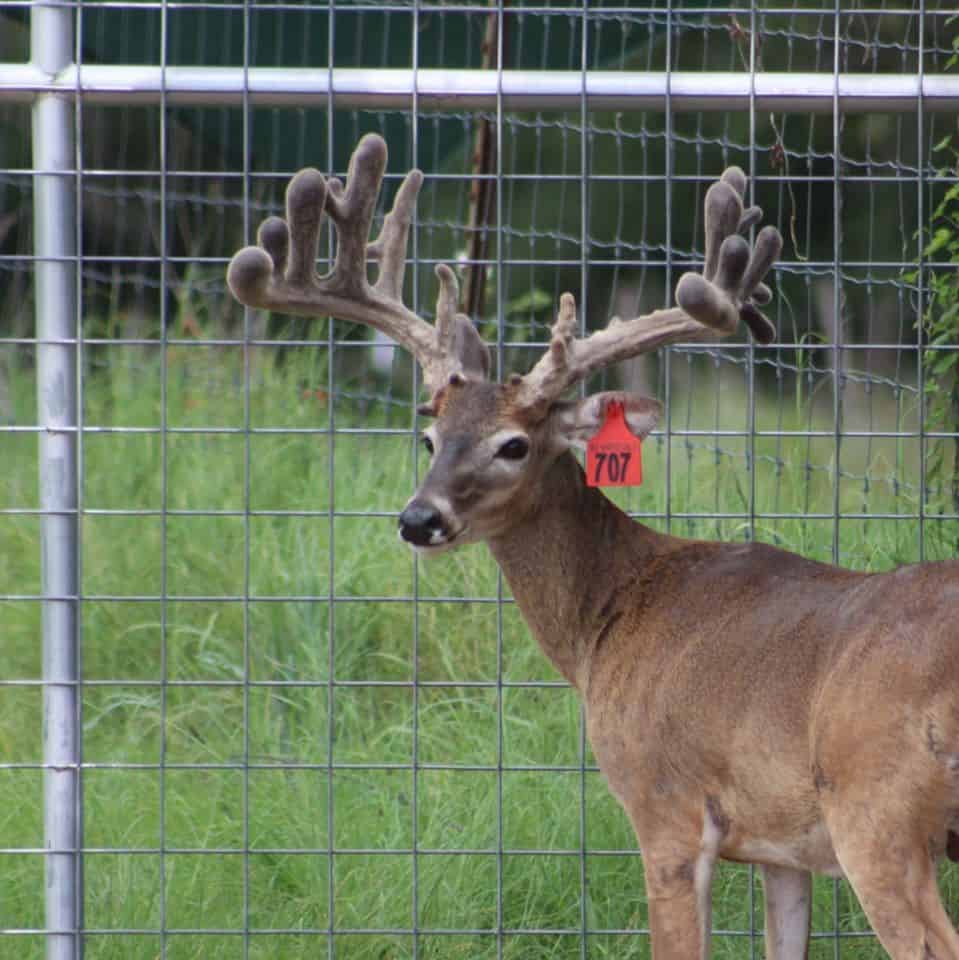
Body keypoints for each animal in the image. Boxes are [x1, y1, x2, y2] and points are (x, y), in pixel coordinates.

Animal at [227, 133, 959, 960]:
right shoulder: (782, 847)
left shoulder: (663, 800)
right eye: (429, 438)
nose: (418, 520)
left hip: (874, 808)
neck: (608, 615)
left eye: (513, 444)